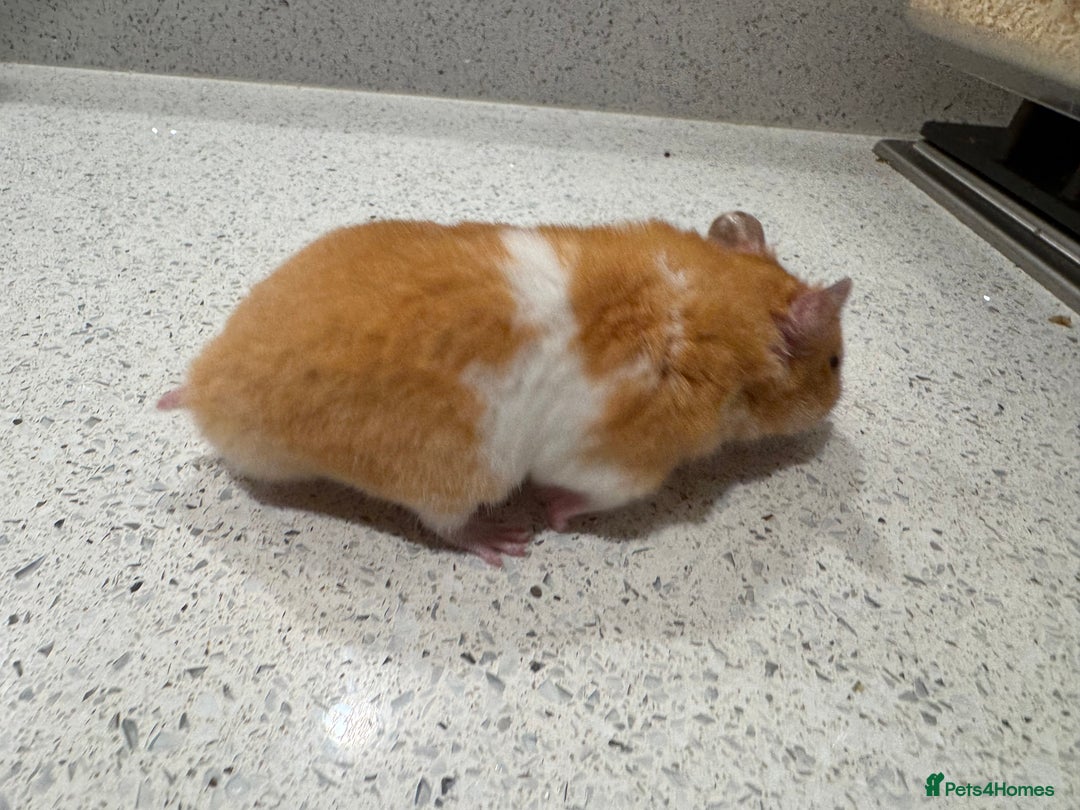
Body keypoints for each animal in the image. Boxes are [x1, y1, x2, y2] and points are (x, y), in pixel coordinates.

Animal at [159, 213, 851, 566]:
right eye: (838, 361)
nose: (832, 412)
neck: (716, 310)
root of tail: (206, 387)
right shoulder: (624, 467)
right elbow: (585, 497)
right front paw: (551, 514)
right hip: (457, 475)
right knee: (444, 527)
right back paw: (505, 541)